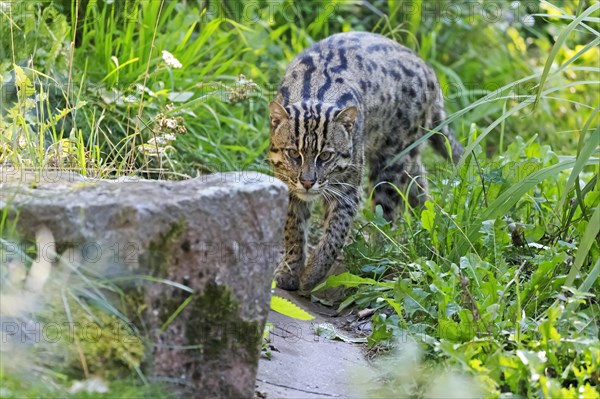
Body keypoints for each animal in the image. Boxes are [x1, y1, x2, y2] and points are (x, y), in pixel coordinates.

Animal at [270, 31, 462, 292]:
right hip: (406, 154)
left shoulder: (348, 190)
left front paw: (312, 274)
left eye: (326, 156)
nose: (308, 182)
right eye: (293, 153)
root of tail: (427, 68)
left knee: (388, 212)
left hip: (392, 161)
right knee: (417, 180)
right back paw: (428, 218)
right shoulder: (288, 185)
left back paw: (378, 252)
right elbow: (293, 228)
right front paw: (289, 269)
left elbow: (335, 234)